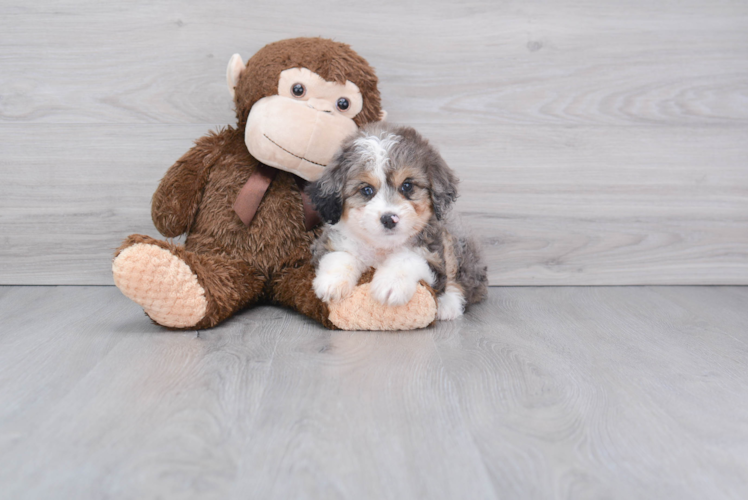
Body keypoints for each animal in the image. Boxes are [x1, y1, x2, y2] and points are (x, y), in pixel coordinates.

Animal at [306, 121, 488, 320]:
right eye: (366, 190)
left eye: (407, 186)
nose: (389, 219)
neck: (382, 248)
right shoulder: (328, 242)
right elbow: (340, 255)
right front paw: (332, 282)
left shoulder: (434, 257)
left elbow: (407, 258)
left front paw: (390, 284)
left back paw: (448, 304)